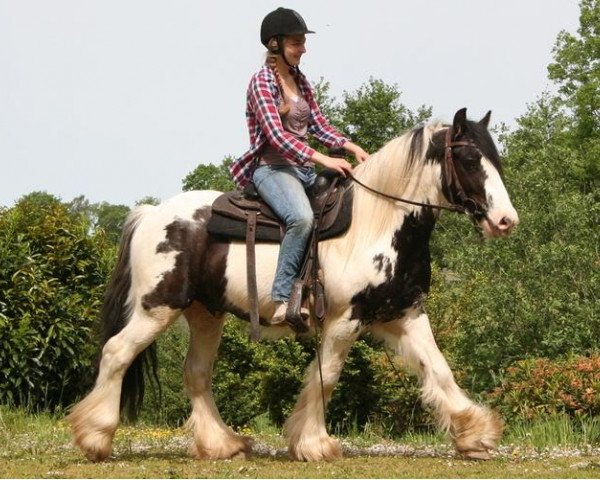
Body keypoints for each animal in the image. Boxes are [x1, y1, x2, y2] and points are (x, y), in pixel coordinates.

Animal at [68, 108, 520, 462]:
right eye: (468, 157)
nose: (505, 221)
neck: (377, 223)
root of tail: (150, 214)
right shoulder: (345, 320)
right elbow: (328, 375)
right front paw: (314, 443)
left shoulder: (404, 314)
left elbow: (439, 369)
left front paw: (474, 433)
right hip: (157, 307)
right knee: (116, 352)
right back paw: (95, 438)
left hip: (204, 314)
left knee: (196, 372)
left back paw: (221, 445)